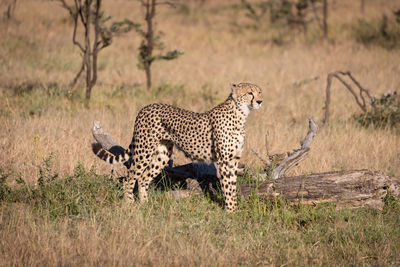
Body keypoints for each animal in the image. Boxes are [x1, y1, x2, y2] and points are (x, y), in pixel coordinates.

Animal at [92, 82, 264, 213]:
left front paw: (234, 210)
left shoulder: (234, 160)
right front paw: (231, 213)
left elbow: (233, 186)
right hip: (144, 150)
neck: (240, 113)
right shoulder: (224, 161)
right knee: (130, 177)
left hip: (162, 154)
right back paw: (130, 205)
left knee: (143, 177)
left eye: (259, 92)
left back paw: (145, 204)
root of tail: (146, 107)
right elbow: (228, 186)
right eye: (250, 93)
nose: (260, 101)